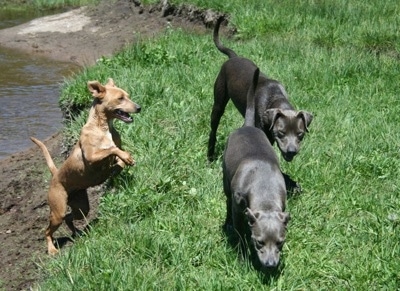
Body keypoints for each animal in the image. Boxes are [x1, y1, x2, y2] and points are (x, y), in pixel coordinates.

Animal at [31, 78, 141, 256]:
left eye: (128, 95)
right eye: (120, 98)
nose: (139, 107)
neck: (103, 126)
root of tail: (55, 174)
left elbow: (118, 156)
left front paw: (121, 164)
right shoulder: (91, 156)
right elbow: (111, 149)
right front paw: (123, 158)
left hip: (81, 206)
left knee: (70, 218)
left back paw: (77, 232)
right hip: (58, 210)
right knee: (47, 231)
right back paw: (52, 249)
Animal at [208, 16, 314, 162]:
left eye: (300, 134)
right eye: (281, 133)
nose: (292, 151)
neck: (274, 97)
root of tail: (234, 57)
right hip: (218, 104)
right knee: (213, 129)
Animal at [222, 68, 290, 270]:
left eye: (280, 242)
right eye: (259, 242)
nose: (270, 265)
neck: (265, 193)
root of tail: (247, 126)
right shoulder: (238, 210)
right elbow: (240, 234)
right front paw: (242, 254)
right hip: (226, 182)